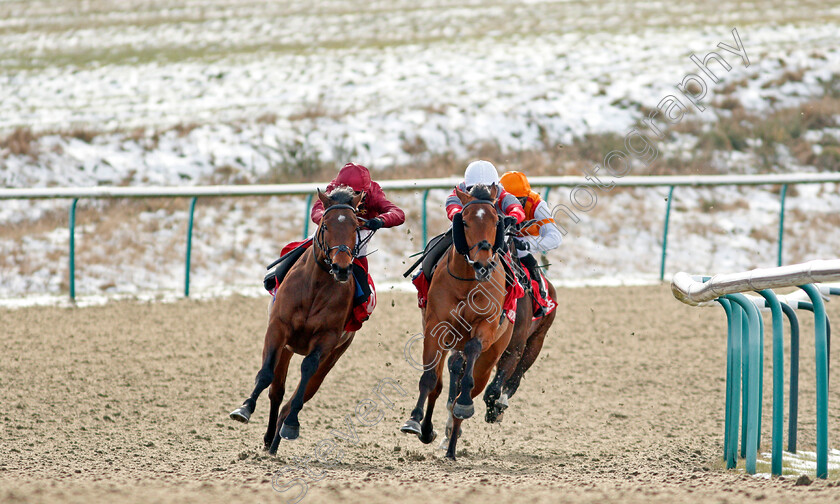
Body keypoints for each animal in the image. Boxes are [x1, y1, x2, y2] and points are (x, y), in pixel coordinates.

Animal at [231, 185, 372, 452]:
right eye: (325, 225)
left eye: (356, 226)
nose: (341, 268)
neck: (315, 286)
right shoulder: (277, 329)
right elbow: (266, 374)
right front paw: (244, 408)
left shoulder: (326, 339)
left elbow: (306, 373)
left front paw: (291, 425)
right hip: (287, 348)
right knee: (277, 391)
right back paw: (269, 439)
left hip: (334, 355)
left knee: (303, 392)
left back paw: (279, 434)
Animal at [398, 183, 512, 458]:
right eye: (466, 222)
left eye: (496, 221)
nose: (483, 264)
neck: (468, 281)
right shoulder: (435, 328)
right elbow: (430, 379)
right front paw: (414, 421)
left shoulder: (486, 326)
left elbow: (471, 354)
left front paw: (463, 405)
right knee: (439, 384)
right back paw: (431, 432)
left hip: (492, 356)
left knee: (470, 386)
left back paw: (452, 444)